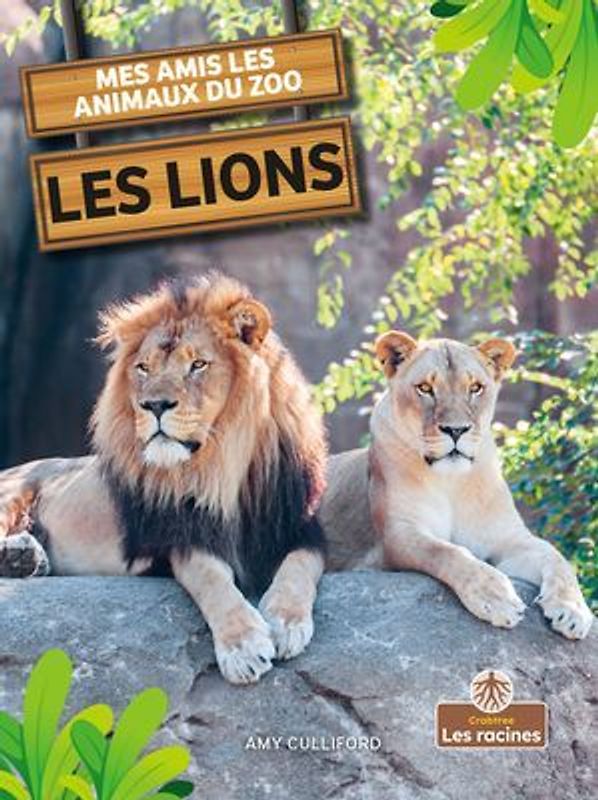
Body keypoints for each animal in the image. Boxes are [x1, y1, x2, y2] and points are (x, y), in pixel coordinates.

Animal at [0, 273, 328, 684]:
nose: (153, 405)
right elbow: (211, 579)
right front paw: (243, 646)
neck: (224, 466)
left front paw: (286, 621)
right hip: (13, 492)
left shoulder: (303, 527)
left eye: (198, 364)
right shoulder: (180, 536)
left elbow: (300, 567)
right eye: (143, 368)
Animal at [320, 332, 593, 640]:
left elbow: (557, 557)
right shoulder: (398, 535)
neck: (451, 481)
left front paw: (573, 610)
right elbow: (448, 552)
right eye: (425, 388)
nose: (456, 430)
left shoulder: (507, 537)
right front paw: (496, 597)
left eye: (475, 388)